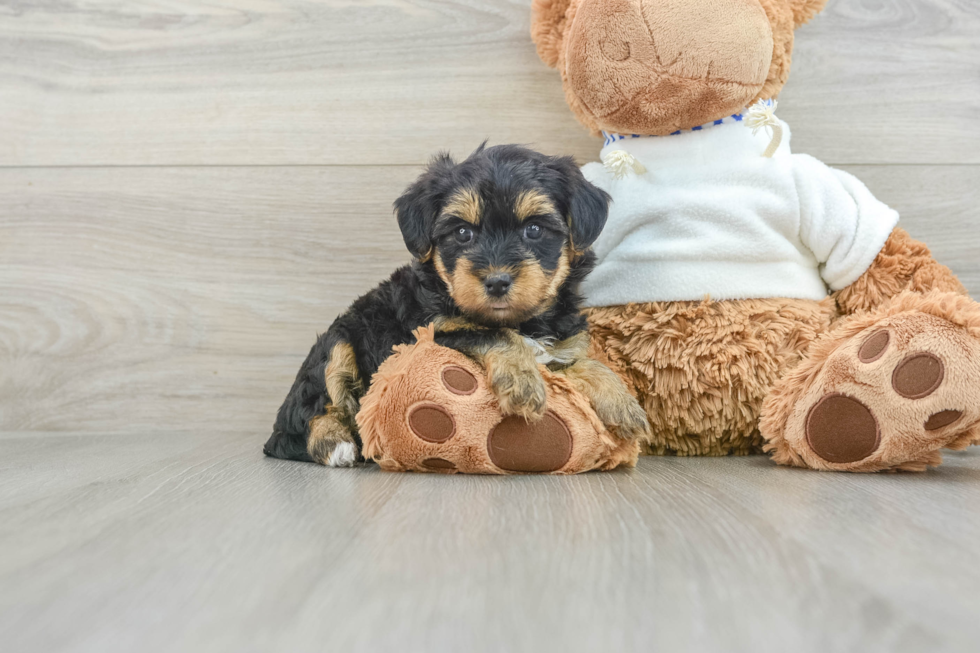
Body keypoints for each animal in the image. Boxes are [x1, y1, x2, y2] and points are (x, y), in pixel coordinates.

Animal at [264, 145, 652, 466]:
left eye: (534, 230)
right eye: (463, 233)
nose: (496, 281)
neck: (522, 321)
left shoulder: (560, 346)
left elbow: (583, 363)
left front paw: (624, 406)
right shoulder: (431, 330)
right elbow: (495, 335)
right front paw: (522, 383)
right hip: (337, 344)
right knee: (312, 411)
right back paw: (336, 444)